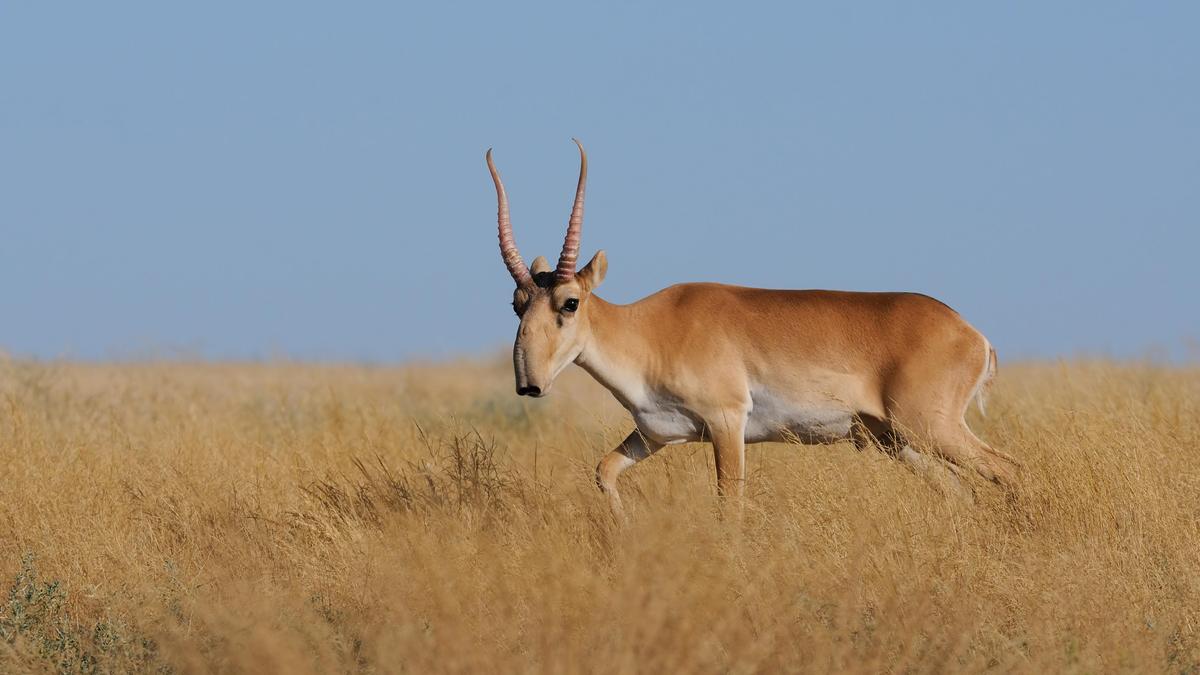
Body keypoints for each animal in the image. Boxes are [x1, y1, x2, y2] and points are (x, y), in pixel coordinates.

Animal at [487, 141, 1022, 509]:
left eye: (570, 302)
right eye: (517, 304)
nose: (529, 384)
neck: (650, 330)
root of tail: (971, 334)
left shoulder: (728, 423)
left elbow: (731, 505)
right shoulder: (655, 435)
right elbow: (604, 471)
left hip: (930, 428)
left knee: (1009, 470)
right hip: (897, 440)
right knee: (961, 492)